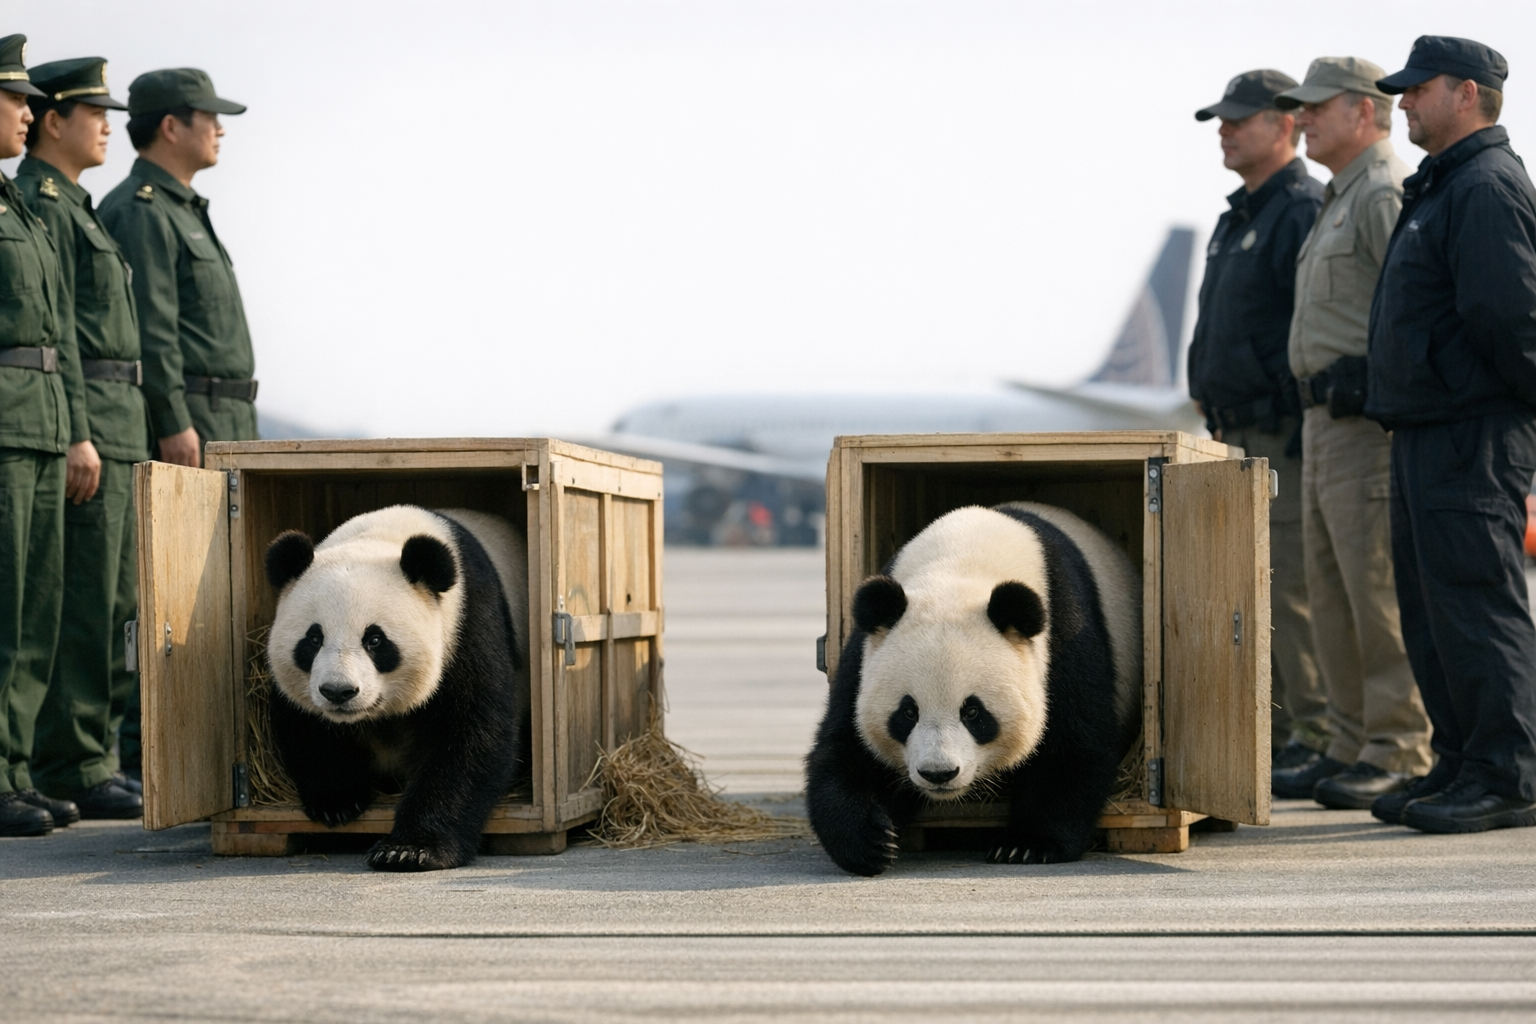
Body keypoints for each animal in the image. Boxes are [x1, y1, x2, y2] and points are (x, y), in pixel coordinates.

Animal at [264, 505, 530, 872]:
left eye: (375, 640)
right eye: (313, 639)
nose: (338, 692)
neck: (380, 537)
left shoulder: (468, 624)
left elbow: (471, 733)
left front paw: (410, 850)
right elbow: (302, 722)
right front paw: (337, 799)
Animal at [805, 501, 1141, 876]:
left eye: (973, 712)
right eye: (907, 712)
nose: (938, 773)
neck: (960, 566)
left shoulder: (1065, 634)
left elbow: (1074, 745)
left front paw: (1027, 844)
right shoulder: (865, 655)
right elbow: (847, 748)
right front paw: (871, 841)